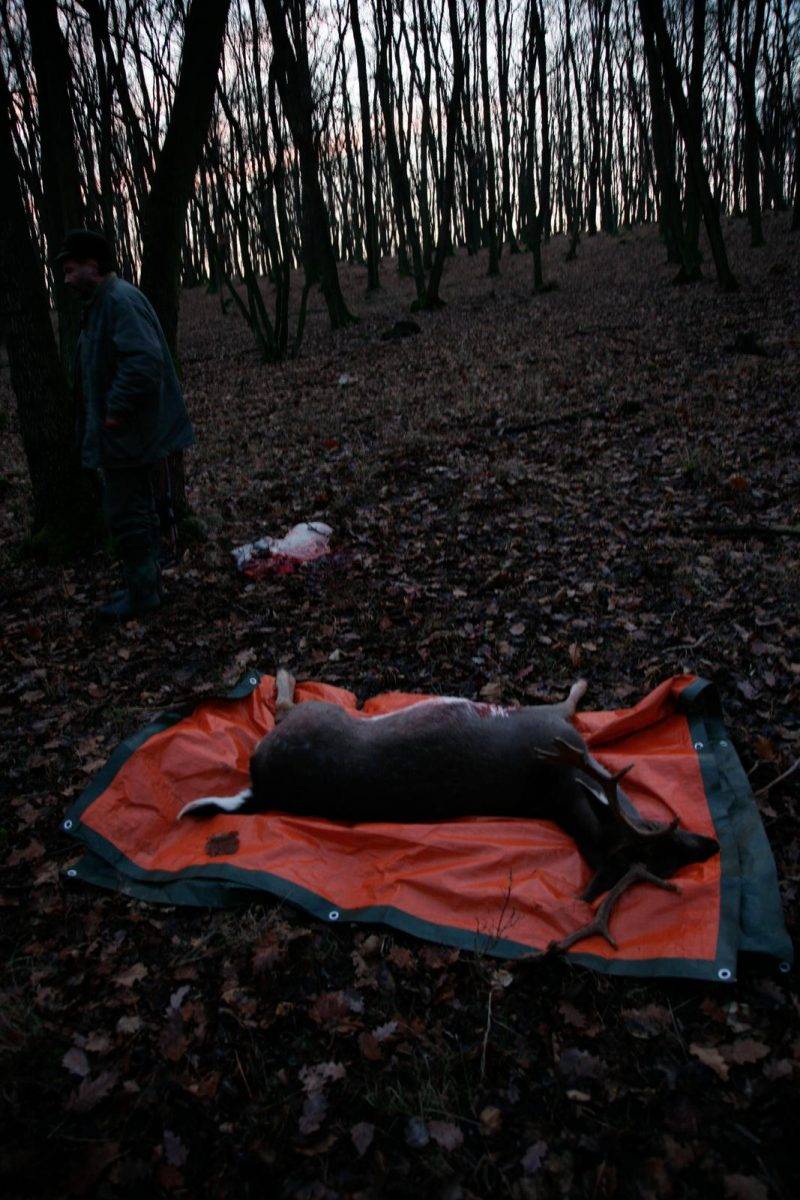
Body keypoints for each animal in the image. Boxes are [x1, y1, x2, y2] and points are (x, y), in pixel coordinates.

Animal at [179, 672, 719, 950]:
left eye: (666, 854)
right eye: (665, 833)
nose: (711, 845)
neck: (560, 787)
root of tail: (262, 784)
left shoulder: (553, 727)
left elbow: (571, 699)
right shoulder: (553, 725)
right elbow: (571, 699)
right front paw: (584, 676)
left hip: (316, 718)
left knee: (285, 707)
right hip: (321, 715)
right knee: (285, 705)